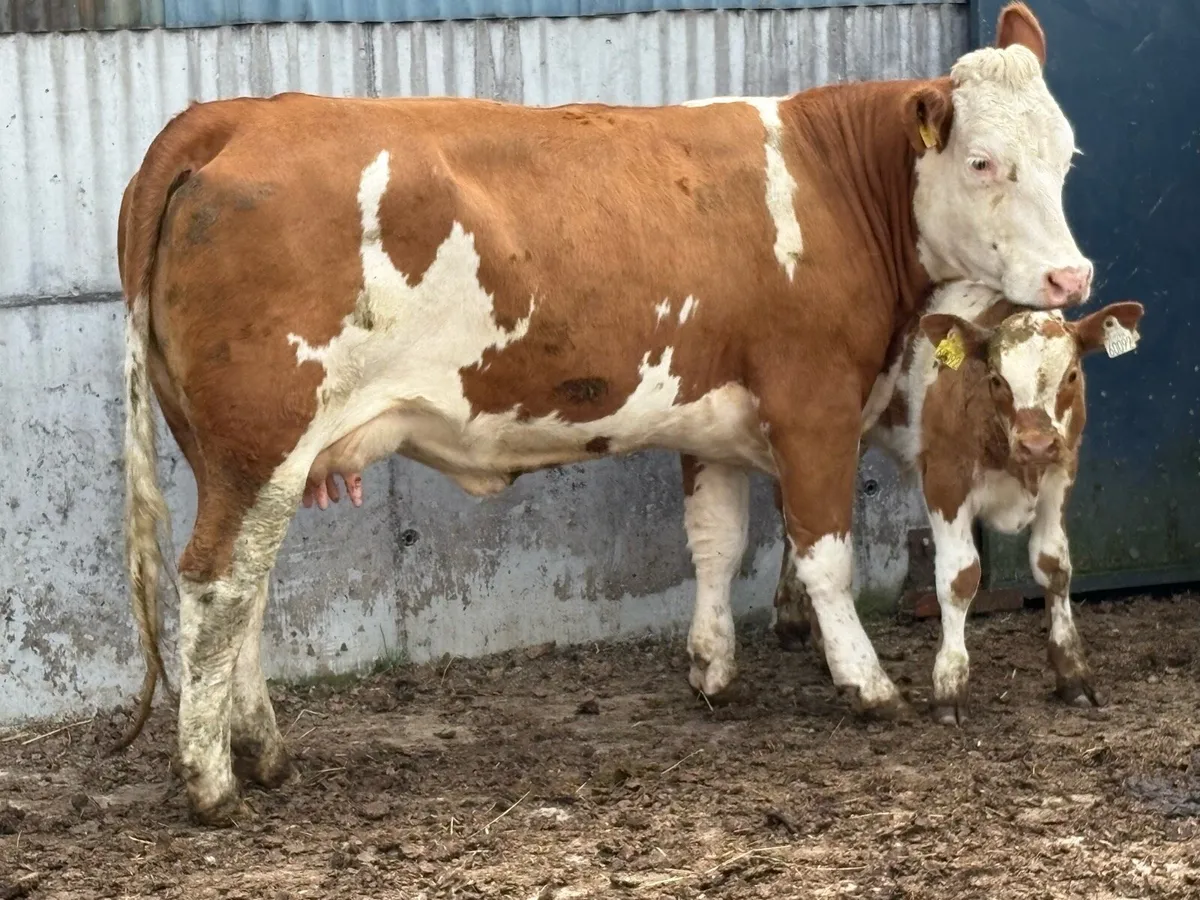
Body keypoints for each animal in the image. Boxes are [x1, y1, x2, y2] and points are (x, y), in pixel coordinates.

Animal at [114, 2, 1091, 824]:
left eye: (1067, 156)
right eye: (982, 161)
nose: (1070, 276)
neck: (836, 186)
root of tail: (234, 116)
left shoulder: (715, 416)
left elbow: (716, 542)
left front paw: (711, 670)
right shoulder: (814, 405)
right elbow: (824, 558)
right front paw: (868, 685)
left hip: (237, 455)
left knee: (244, 590)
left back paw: (265, 756)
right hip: (260, 441)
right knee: (216, 586)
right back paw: (211, 783)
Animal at [771, 281, 1144, 724]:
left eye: (1071, 375)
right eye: (997, 379)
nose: (1036, 445)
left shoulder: (1062, 471)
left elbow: (1054, 567)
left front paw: (1073, 674)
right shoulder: (945, 480)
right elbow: (959, 577)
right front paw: (950, 685)